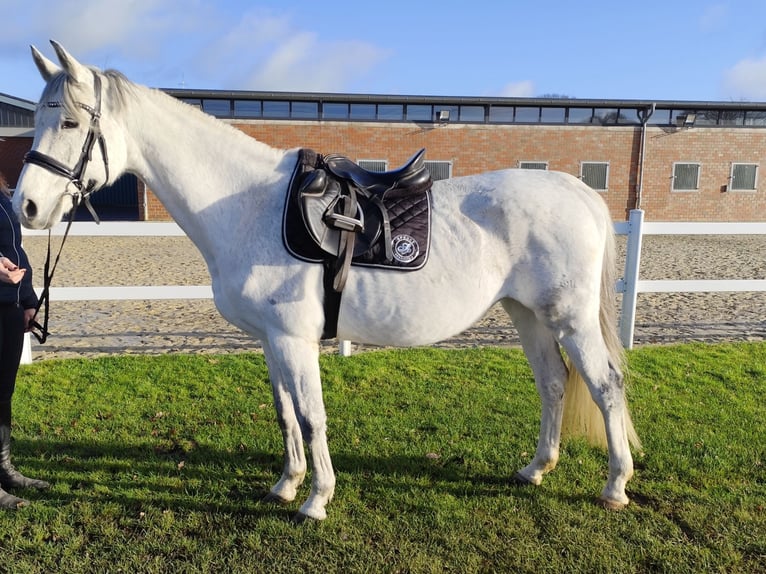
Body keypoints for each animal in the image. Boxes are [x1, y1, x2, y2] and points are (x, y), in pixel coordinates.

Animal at [16, 42, 640, 524]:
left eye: (70, 122)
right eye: (39, 120)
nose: (26, 207)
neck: (249, 206)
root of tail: (580, 194)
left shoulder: (295, 339)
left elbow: (312, 415)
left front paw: (316, 500)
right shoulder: (272, 340)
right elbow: (285, 411)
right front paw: (286, 484)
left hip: (570, 319)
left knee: (604, 385)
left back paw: (614, 487)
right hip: (527, 314)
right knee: (554, 385)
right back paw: (534, 470)